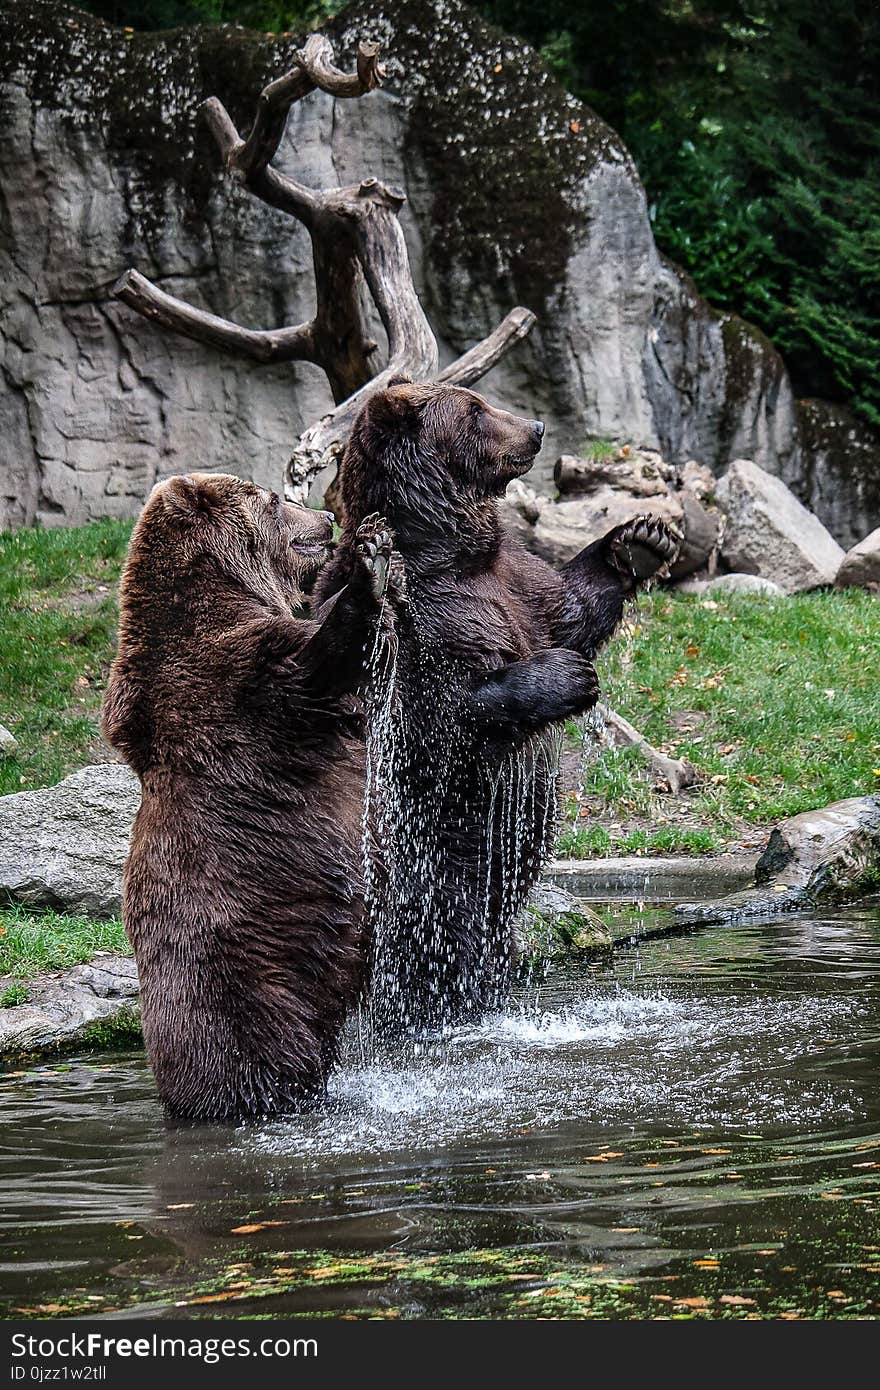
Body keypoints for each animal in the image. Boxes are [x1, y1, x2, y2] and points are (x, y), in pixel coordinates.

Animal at [102, 472, 400, 1123]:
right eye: (271, 497)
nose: (326, 520)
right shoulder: (224, 677)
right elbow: (315, 664)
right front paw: (366, 563)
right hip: (241, 979)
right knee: (262, 1047)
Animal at [319, 380, 675, 1034]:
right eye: (476, 409)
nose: (535, 428)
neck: (449, 549)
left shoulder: (515, 582)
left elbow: (570, 605)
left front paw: (640, 539)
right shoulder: (422, 618)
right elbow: (443, 711)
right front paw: (567, 676)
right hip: (429, 857)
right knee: (445, 931)